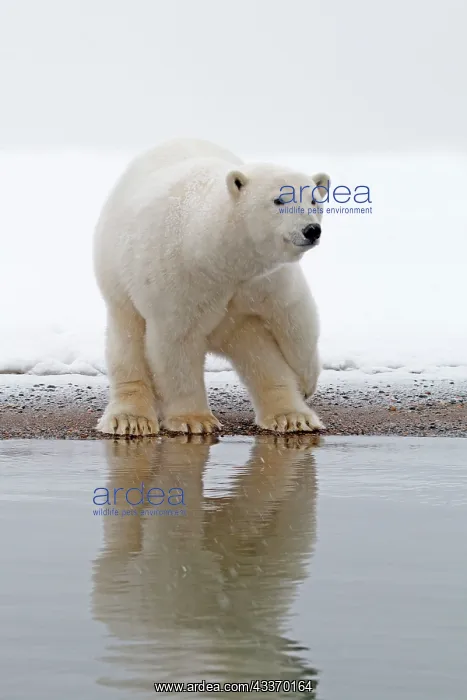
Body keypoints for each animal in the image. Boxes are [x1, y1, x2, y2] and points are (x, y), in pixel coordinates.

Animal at [93, 138, 329, 435]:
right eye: (279, 199)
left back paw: (292, 417)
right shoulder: (178, 279)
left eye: (314, 199)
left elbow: (296, 320)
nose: (311, 230)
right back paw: (130, 419)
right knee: (127, 345)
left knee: (260, 358)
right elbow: (176, 344)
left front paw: (306, 383)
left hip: (237, 324)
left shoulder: (264, 280)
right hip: (118, 284)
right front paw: (194, 420)